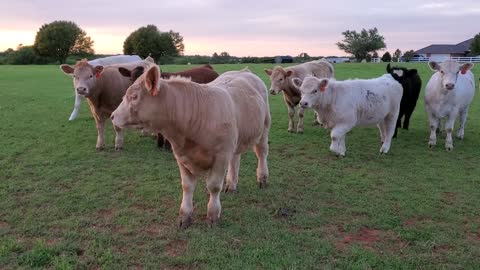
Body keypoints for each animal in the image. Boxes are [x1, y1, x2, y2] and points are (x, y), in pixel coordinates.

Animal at [110, 65, 272, 228]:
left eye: (134, 96)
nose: (112, 116)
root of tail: (244, 71)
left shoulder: (222, 155)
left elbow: (214, 186)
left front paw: (213, 215)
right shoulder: (182, 156)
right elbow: (187, 186)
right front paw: (185, 216)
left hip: (264, 128)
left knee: (262, 153)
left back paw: (262, 178)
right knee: (235, 159)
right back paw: (231, 184)